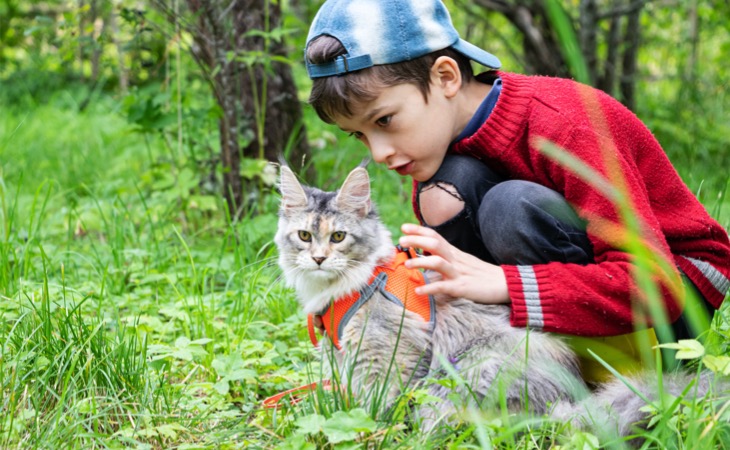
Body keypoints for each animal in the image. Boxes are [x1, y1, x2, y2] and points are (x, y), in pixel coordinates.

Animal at [272, 164, 724, 440]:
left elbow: (381, 404)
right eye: (305, 236)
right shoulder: (347, 357)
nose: (318, 258)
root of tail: (567, 400)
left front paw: (375, 430)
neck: (349, 285)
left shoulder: (391, 354)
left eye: (338, 237)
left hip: (454, 380)